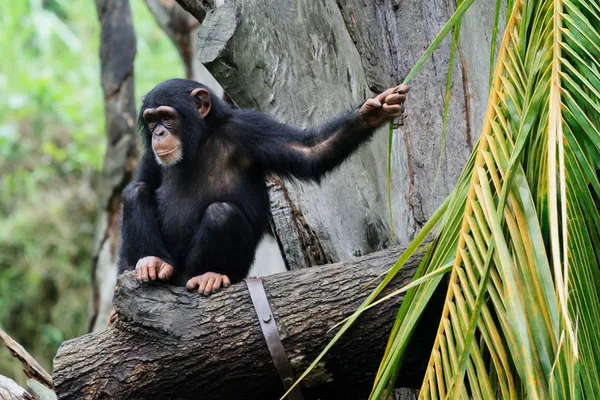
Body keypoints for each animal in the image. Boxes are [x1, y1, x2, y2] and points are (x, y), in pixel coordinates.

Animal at [113, 78, 408, 308]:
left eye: (167, 117)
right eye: (151, 120)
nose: (159, 134)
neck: (201, 140)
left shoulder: (249, 128)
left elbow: (310, 151)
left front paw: (371, 113)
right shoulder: (151, 157)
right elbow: (142, 181)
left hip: (218, 272)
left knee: (221, 214)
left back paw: (208, 275)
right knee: (136, 192)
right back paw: (153, 263)